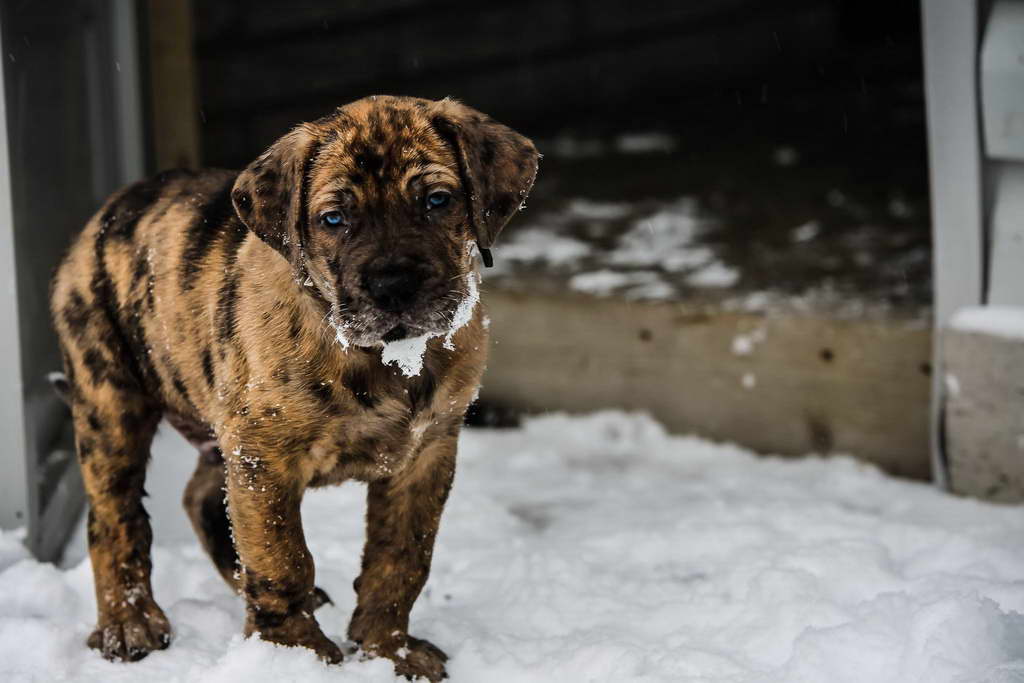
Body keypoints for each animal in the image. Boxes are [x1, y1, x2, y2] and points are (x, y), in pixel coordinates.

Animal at [49, 94, 536, 679]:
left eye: (438, 201)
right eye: (334, 219)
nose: (393, 285)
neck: (383, 358)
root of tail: (108, 212)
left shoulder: (427, 452)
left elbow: (401, 557)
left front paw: (387, 649)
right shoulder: (265, 456)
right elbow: (281, 557)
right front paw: (295, 653)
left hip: (220, 424)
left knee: (201, 498)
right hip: (110, 401)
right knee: (115, 517)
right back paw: (129, 624)